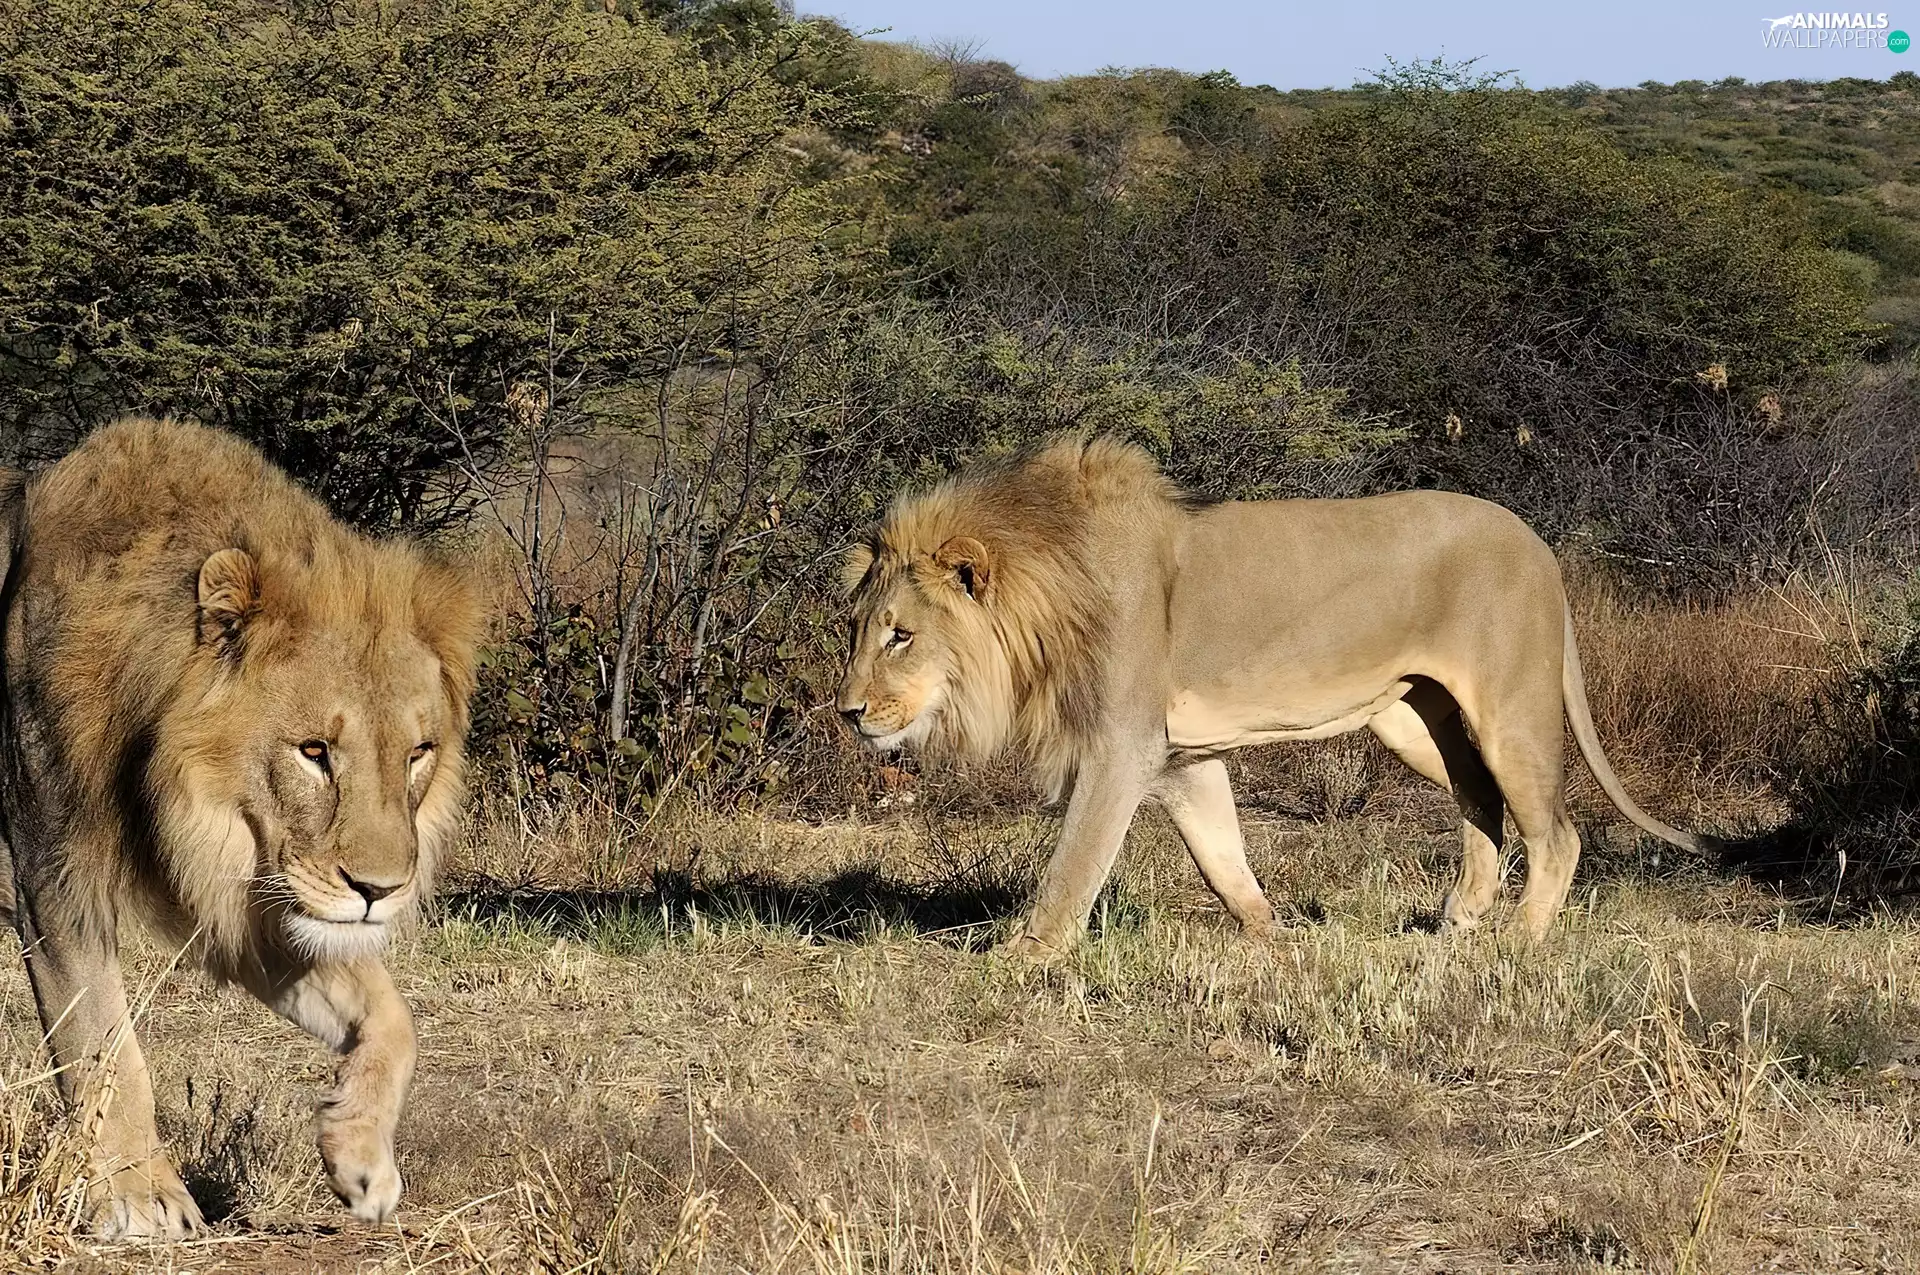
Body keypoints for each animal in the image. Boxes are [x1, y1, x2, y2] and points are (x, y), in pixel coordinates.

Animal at [0, 417, 482, 1238]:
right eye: (314, 751)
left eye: (416, 753)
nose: (380, 891)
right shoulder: (53, 883)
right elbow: (105, 1046)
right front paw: (140, 1198)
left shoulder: (256, 902)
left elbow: (393, 1016)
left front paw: (361, 1158)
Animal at [836, 435, 1699, 952]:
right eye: (856, 629)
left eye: (901, 635)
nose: (847, 711)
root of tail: (1540, 547)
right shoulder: (1178, 757)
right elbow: (1223, 854)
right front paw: (1271, 933)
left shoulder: (1121, 746)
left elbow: (1074, 864)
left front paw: (1021, 955)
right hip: (1417, 722)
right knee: (1481, 801)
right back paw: (1457, 920)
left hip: (1508, 711)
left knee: (1557, 832)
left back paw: (1517, 941)